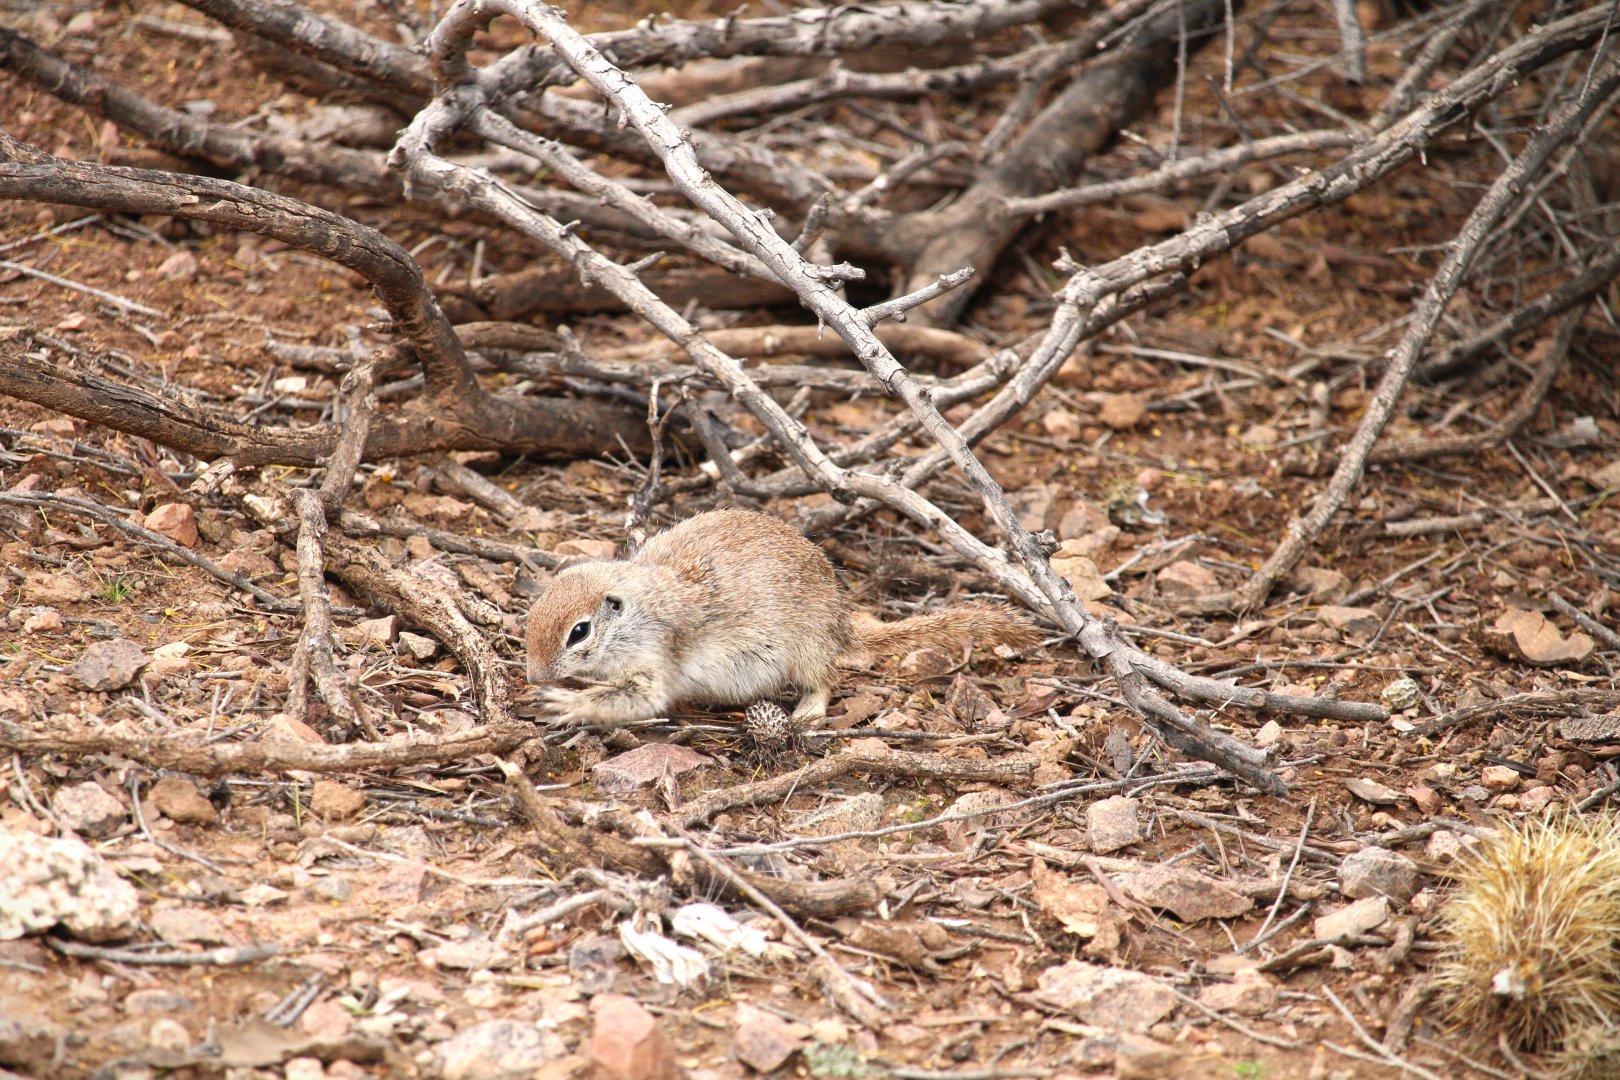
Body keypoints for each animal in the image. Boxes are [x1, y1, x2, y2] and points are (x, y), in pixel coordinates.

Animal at [524, 508, 1039, 727]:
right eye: (531, 615)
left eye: (579, 632)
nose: (532, 676)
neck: (637, 610)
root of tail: (841, 626)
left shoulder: (654, 660)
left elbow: (635, 698)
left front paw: (568, 705)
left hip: (806, 650)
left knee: (825, 681)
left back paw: (807, 711)